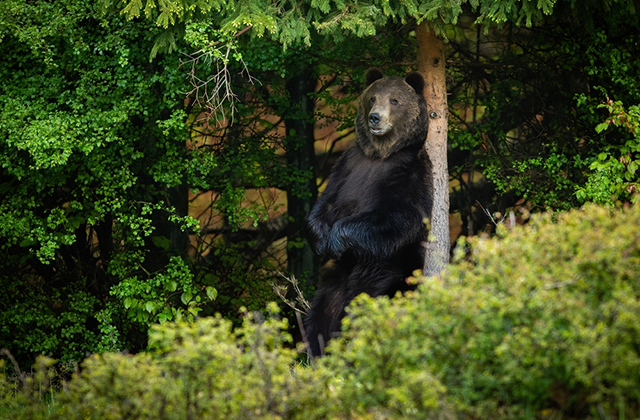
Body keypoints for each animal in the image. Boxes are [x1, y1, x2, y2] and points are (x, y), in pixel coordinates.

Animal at [304, 69, 436, 358]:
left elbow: (398, 217)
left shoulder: (411, 171)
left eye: (395, 100)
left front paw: (336, 238)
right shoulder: (348, 166)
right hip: (336, 284)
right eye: (372, 97)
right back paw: (318, 354)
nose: (375, 117)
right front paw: (322, 239)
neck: (381, 154)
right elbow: (324, 205)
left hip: (393, 272)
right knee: (320, 317)